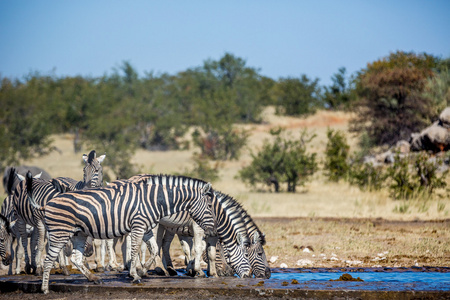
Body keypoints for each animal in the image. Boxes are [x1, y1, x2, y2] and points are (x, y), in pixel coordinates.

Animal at [27, 173, 217, 292]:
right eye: (209, 206)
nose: (213, 228)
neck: (155, 200)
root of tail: (48, 203)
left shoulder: (147, 228)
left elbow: (154, 250)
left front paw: (142, 271)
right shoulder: (138, 225)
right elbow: (134, 250)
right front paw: (134, 274)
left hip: (78, 234)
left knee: (76, 258)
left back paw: (93, 279)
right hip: (60, 232)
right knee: (48, 259)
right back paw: (45, 288)